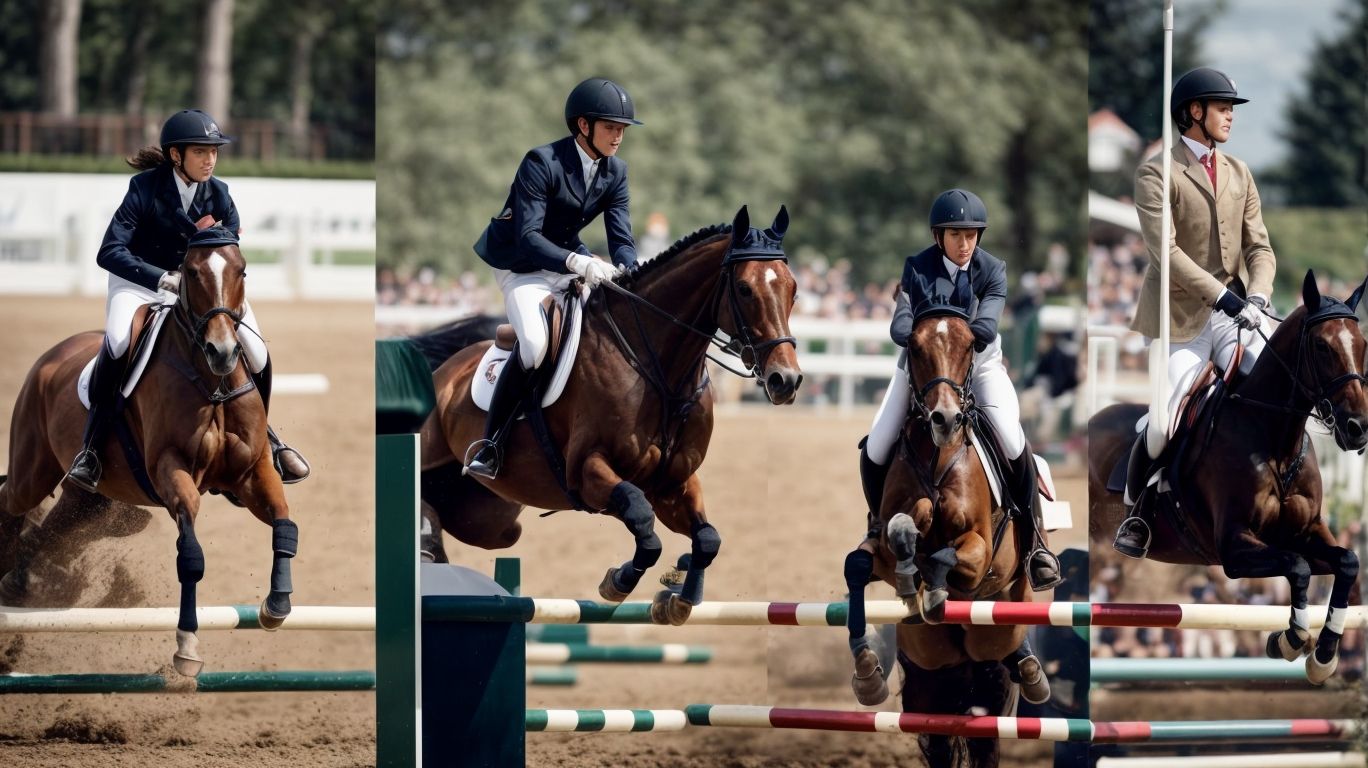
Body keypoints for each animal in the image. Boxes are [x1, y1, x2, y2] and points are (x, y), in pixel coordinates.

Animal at [0, 227, 298, 677]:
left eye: (242, 270)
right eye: (190, 272)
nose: (223, 352)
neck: (212, 382)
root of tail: (51, 357)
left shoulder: (251, 475)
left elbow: (284, 521)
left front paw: (276, 605)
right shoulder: (170, 472)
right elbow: (190, 556)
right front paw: (187, 646)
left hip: (90, 500)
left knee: (50, 530)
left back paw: (19, 581)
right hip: (31, 474)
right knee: (9, 499)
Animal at [420, 206, 802, 624]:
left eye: (793, 289)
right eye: (745, 289)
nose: (786, 380)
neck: (661, 374)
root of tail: (446, 369)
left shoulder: (672, 483)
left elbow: (706, 538)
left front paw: (680, 595)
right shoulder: (588, 472)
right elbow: (642, 523)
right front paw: (618, 582)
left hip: (490, 520)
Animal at [843, 281, 1049, 768]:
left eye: (971, 345)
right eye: (914, 348)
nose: (945, 419)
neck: (939, 455)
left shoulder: (979, 550)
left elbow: (947, 557)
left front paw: (932, 589)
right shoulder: (879, 543)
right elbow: (870, 556)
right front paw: (867, 675)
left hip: (993, 667)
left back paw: (1029, 665)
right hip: (929, 682)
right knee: (939, 738)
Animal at [1089, 270, 1367, 684]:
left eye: (1362, 345)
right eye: (1321, 346)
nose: (1357, 429)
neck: (1274, 441)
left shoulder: (1304, 534)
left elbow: (1347, 562)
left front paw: (1324, 655)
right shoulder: (1234, 548)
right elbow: (1297, 568)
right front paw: (1290, 639)